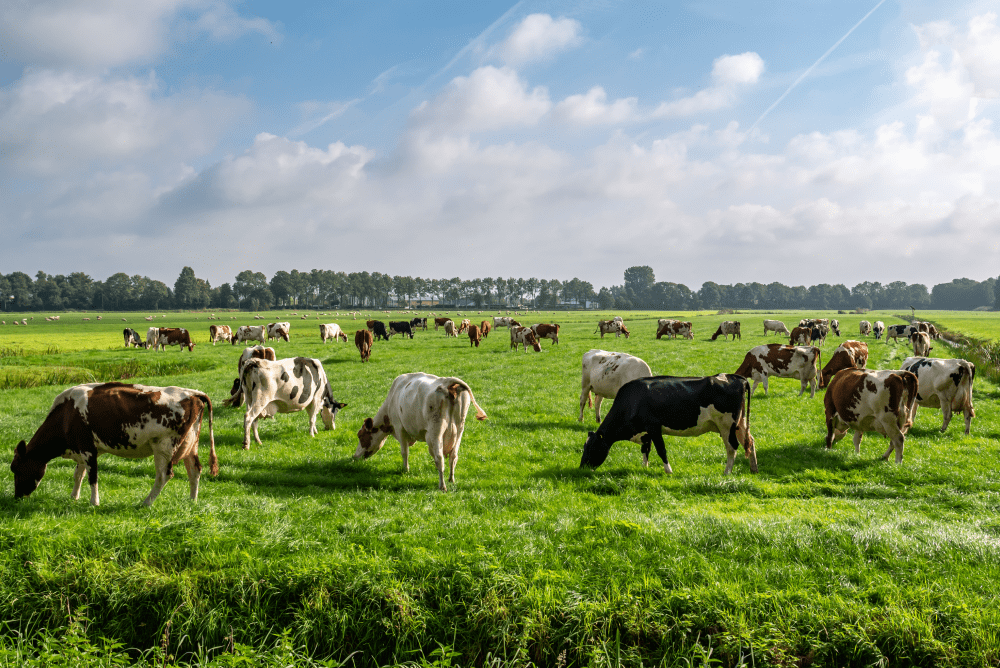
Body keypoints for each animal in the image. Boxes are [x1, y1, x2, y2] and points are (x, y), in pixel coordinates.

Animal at [9, 380, 216, 506]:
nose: (17, 497)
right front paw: (74, 497)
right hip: (190, 444)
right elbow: (78, 474)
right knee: (194, 470)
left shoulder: (88, 449)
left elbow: (92, 477)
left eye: (16, 468)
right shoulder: (83, 449)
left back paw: (146, 502)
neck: (67, 413)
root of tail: (192, 393)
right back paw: (192, 500)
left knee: (164, 475)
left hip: (164, 446)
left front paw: (94, 502)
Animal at [356, 370, 488, 490]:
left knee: (440, 458)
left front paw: (406, 470)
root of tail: (446, 381)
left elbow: (404, 452)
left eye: (360, 435)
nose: (354, 456)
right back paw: (451, 479)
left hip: (436, 430)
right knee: (453, 456)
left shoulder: (399, 428)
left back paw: (442, 486)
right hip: (460, 427)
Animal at [580, 376, 756, 474]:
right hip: (739, 424)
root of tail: (736, 377)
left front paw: (668, 471)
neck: (633, 400)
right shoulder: (646, 432)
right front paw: (644, 467)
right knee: (750, 441)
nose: (582, 468)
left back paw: (727, 472)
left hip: (726, 425)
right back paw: (754, 469)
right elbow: (646, 449)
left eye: (592, 447)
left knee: (732, 447)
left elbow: (661, 450)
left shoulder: (654, 427)